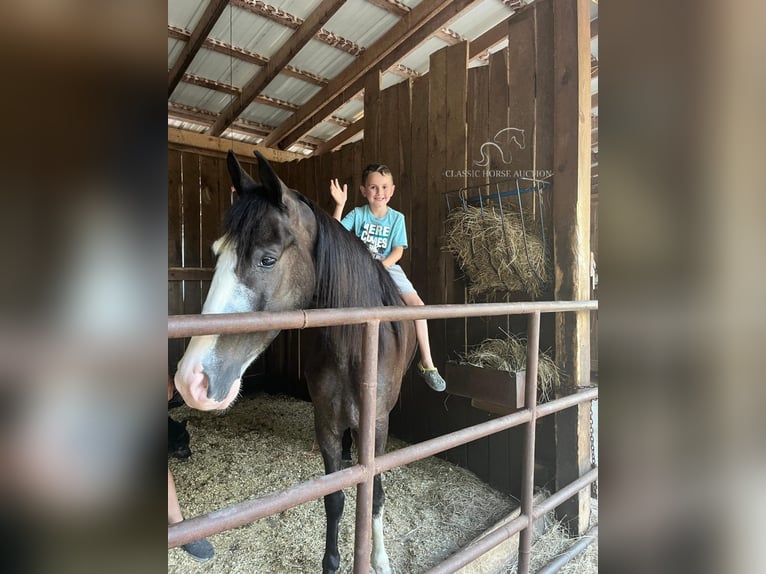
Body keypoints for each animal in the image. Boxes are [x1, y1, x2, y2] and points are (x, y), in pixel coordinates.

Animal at [175, 151, 416, 572]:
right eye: (218, 254)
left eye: (267, 259)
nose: (191, 381)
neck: (355, 349)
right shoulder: (327, 423)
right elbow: (334, 496)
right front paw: (331, 562)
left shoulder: (378, 426)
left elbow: (375, 491)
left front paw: (380, 559)